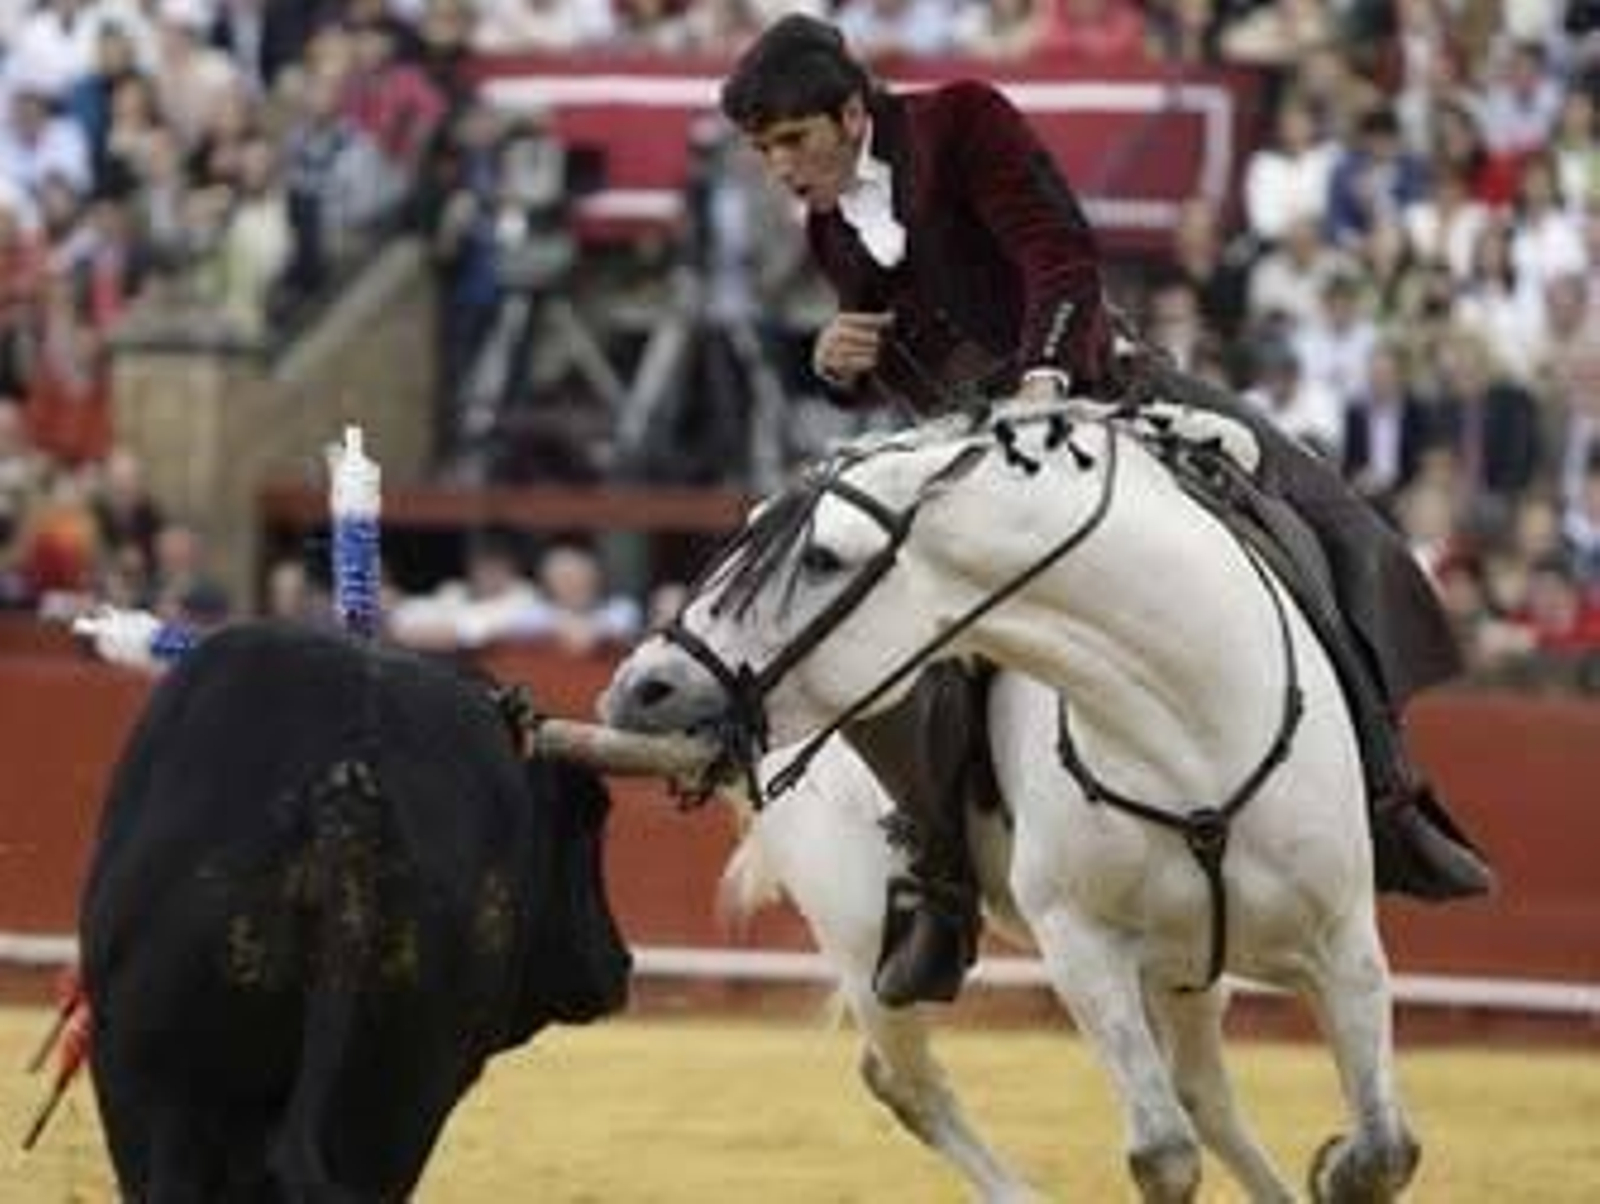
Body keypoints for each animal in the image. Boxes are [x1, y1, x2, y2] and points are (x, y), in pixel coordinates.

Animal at [602, 397, 1421, 1203]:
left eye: (822, 557)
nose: (640, 689)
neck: (1191, 729)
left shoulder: (1344, 938)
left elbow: (1383, 1151)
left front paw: (1332, 1165)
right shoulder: (1081, 945)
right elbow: (1164, 1154)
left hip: (1189, 963)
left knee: (1204, 1091)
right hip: (863, 937)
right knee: (906, 1081)